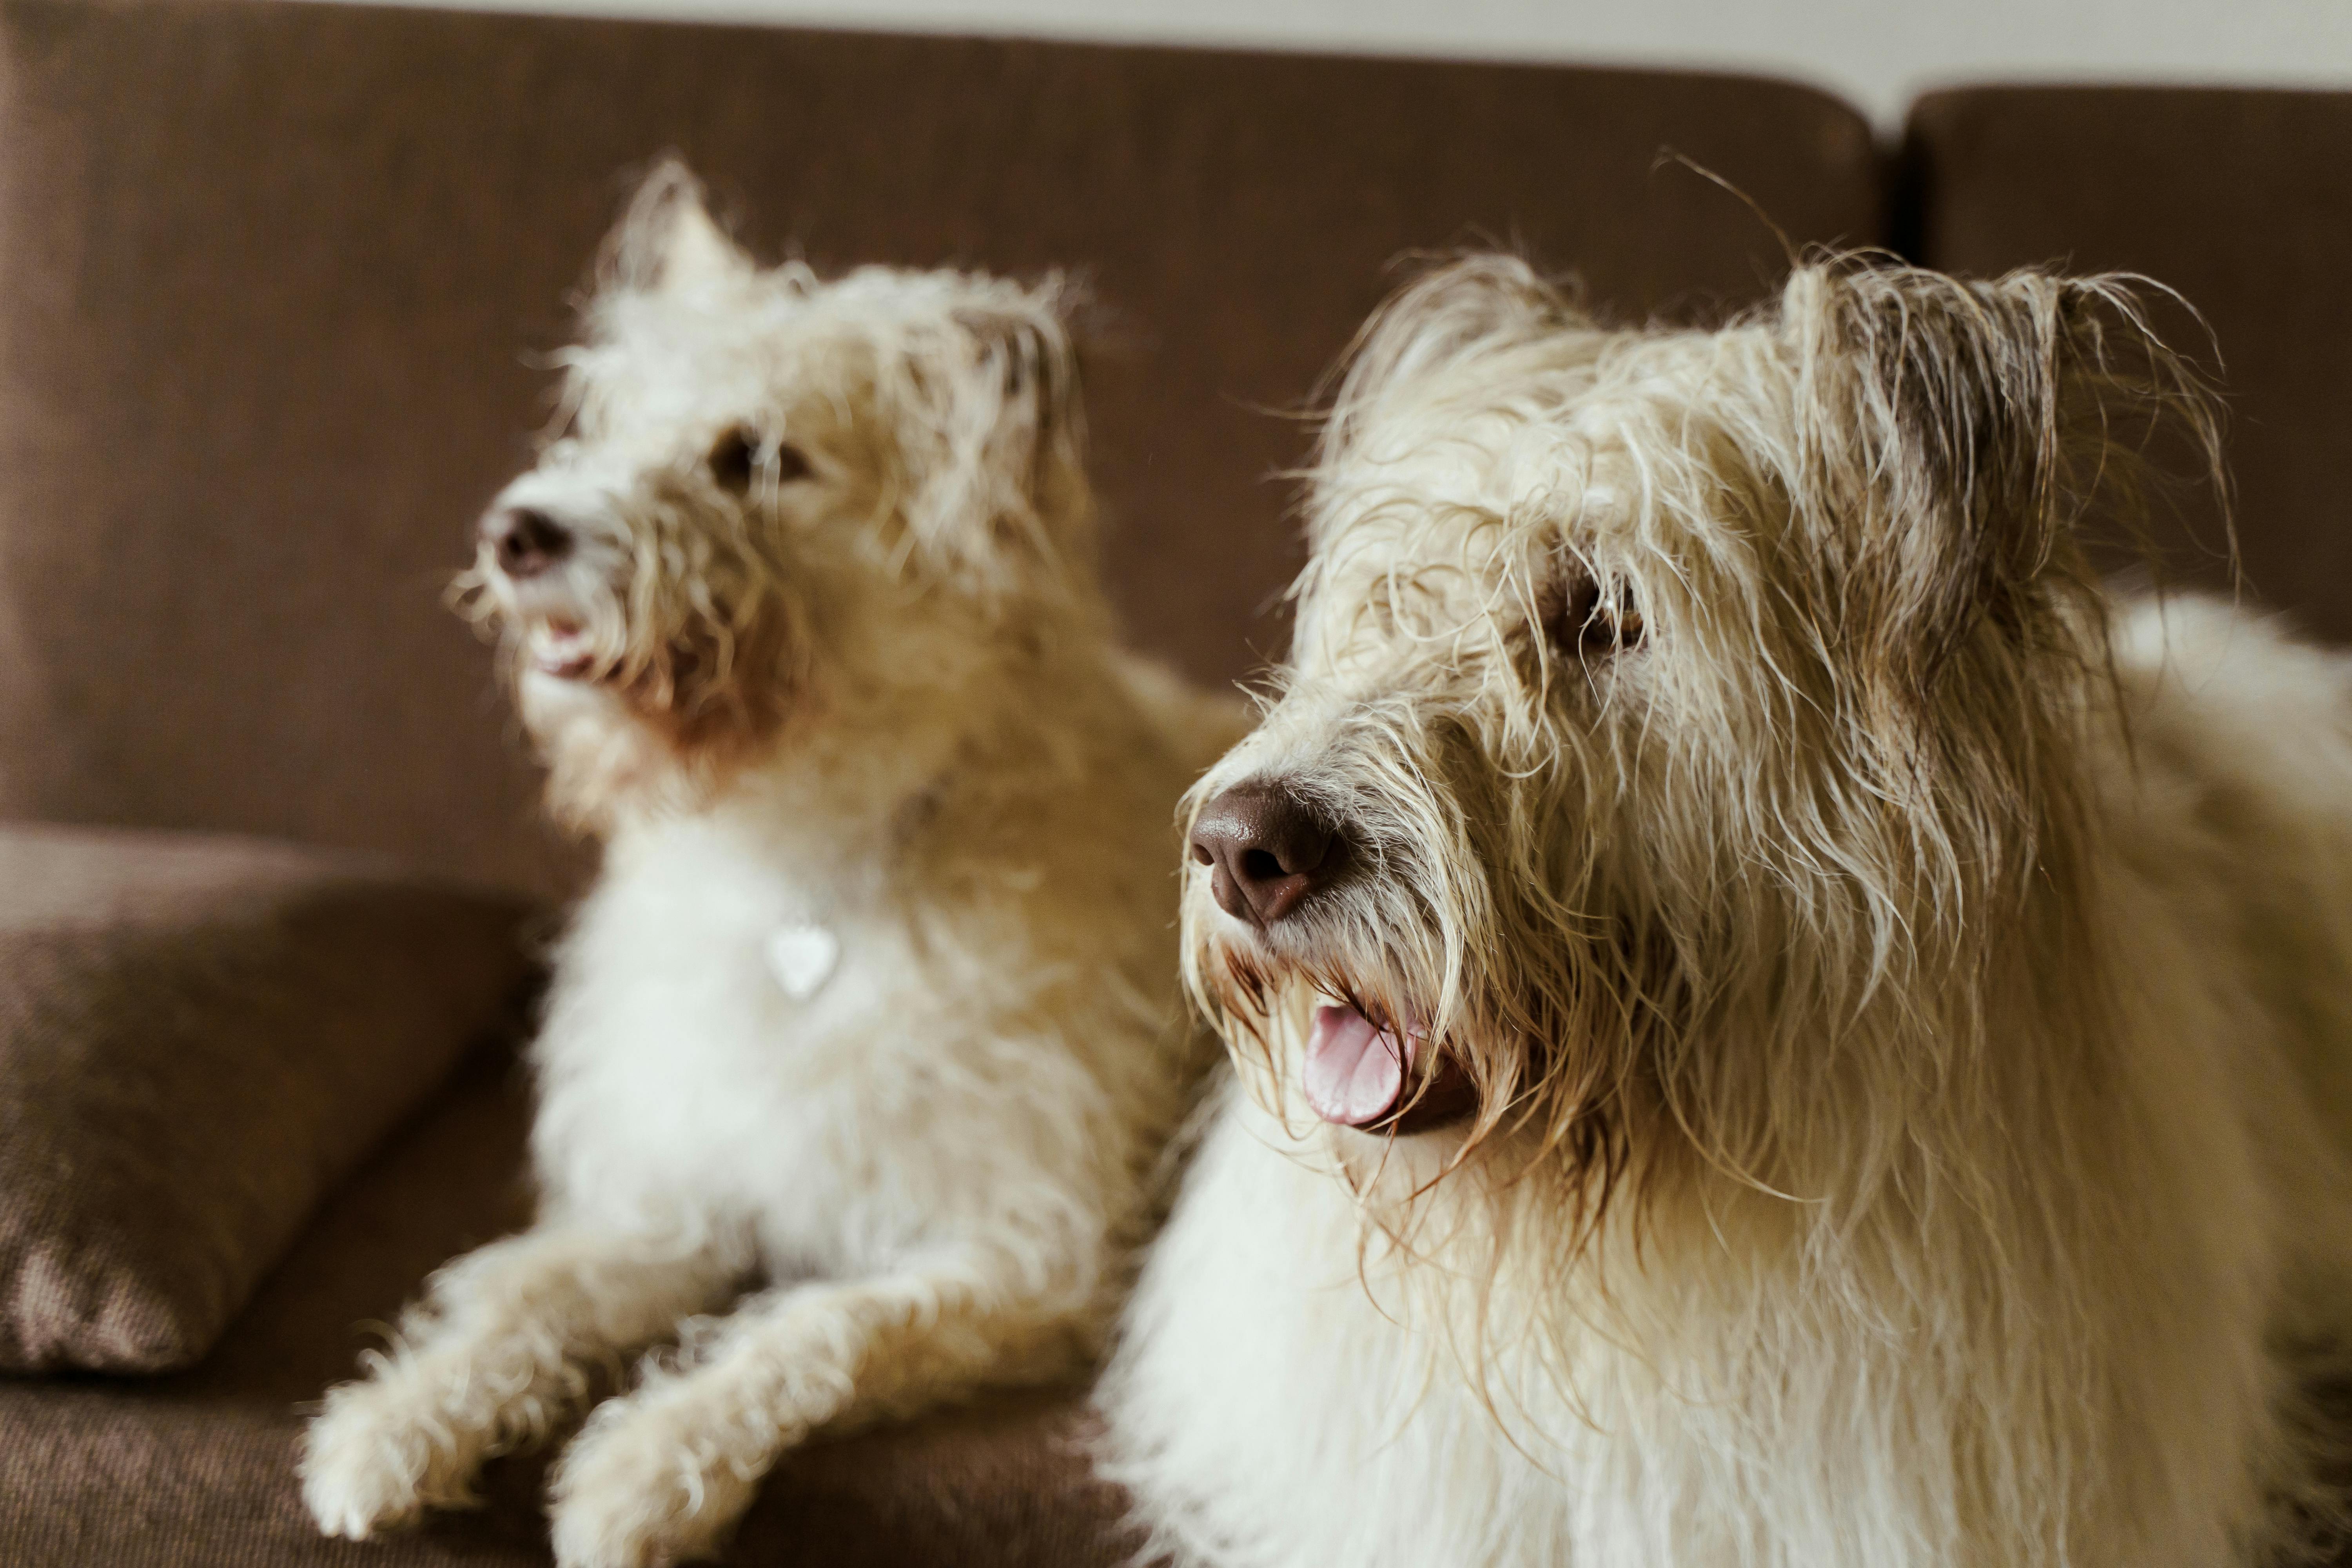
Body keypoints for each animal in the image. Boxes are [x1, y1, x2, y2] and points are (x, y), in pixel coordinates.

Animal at [299, 162, 1232, 1568]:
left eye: (759, 459)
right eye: (607, 429)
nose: (519, 530)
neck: (806, 870)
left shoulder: (1025, 1255)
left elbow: (809, 1326)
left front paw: (641, 1470)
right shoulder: (674, 1199)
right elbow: (527, 1295)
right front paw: (392, 1421)